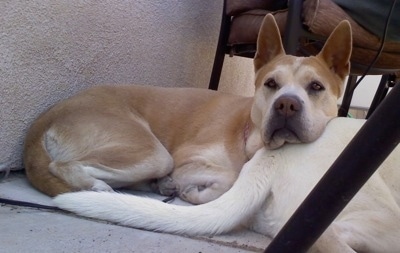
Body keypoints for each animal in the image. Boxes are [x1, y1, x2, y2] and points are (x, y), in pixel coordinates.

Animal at [24, 13, 350, 205]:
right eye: (271, 83)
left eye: (316, 87)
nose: (286, 105)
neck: (249, 136)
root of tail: (45, 118)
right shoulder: (188, 158)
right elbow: (230, 176)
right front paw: (195, 190)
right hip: (153, 154)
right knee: (62, 166)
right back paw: (100, 189)